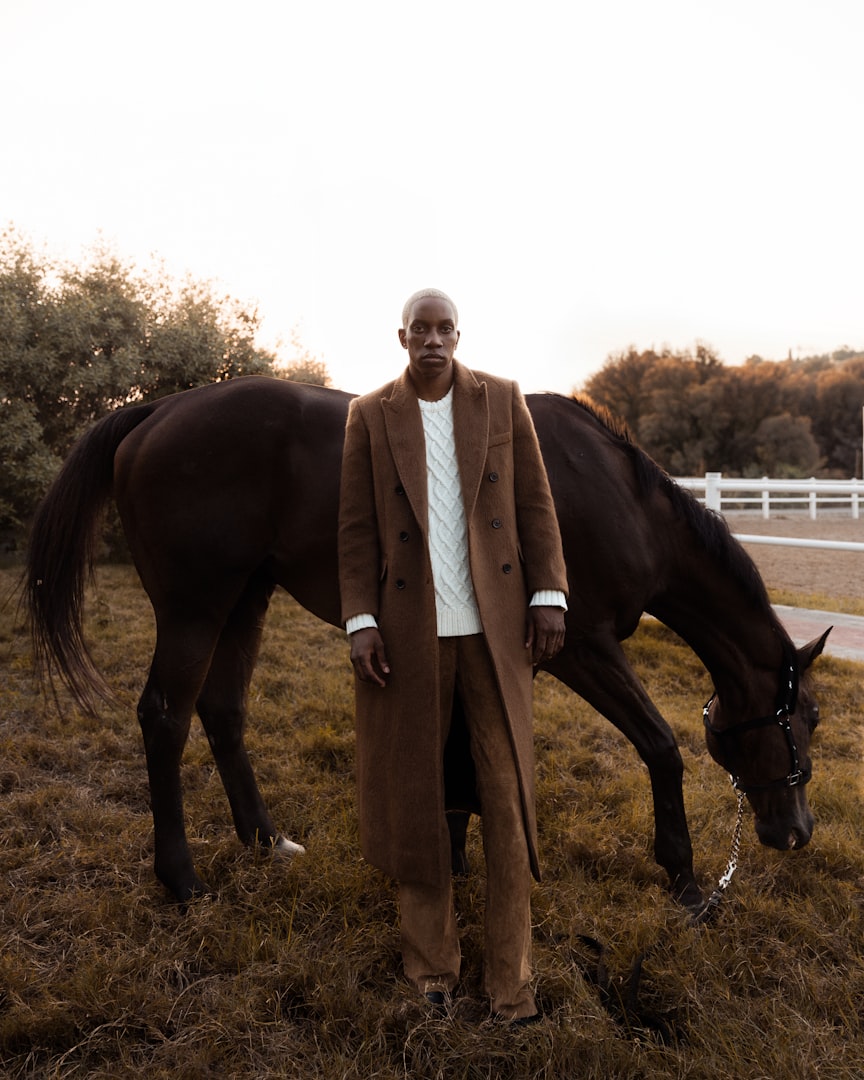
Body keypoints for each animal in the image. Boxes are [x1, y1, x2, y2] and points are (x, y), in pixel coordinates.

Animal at [25, 378, 829, 911]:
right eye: (807, 719)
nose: (797, 832)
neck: (617, 499)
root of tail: (157, 409)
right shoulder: (582, 648)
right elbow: (660, 746)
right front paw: (684, 877)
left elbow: (469, 752)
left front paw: (459, 857)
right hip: (197, 606)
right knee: (164, 717)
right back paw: (182, 878)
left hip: (245, 598)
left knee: (222, 712)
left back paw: (265, 842)